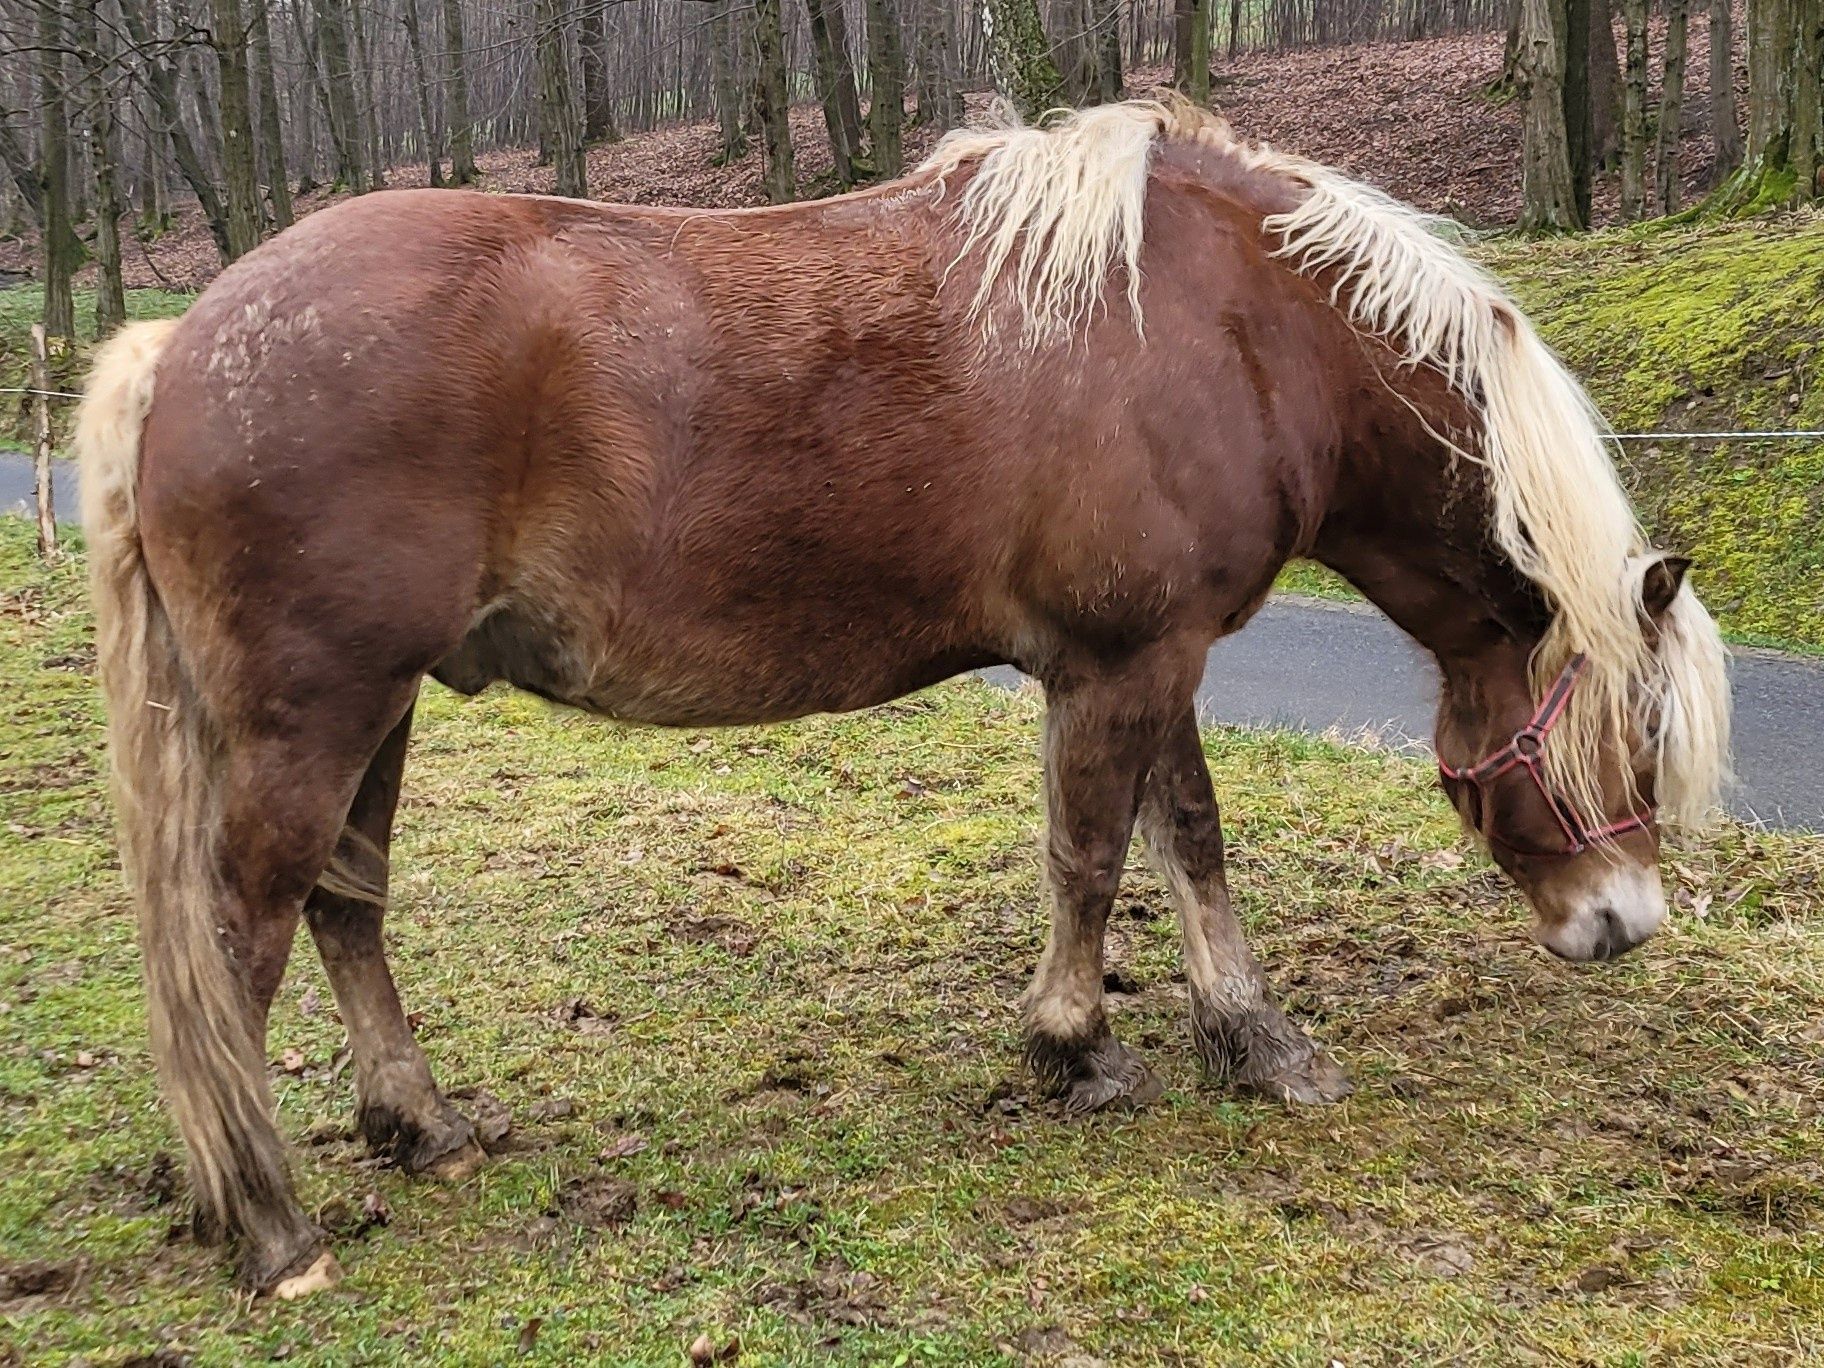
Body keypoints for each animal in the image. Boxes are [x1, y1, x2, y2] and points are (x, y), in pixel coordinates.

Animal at [71, 101, 1729, 1298]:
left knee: (345, 909)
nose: (1625, 924)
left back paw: (415, 1128)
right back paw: (267, 1220)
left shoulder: (1165, 657)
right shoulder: (1120, 661)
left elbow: (1188, 839)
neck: (1234, 327)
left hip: (381, 705)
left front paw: (1253, 1041)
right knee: (242, 938)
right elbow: (1092, 856)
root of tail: (184, 340)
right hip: (313, 715)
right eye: (1630, 737)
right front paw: (1073, 1047)